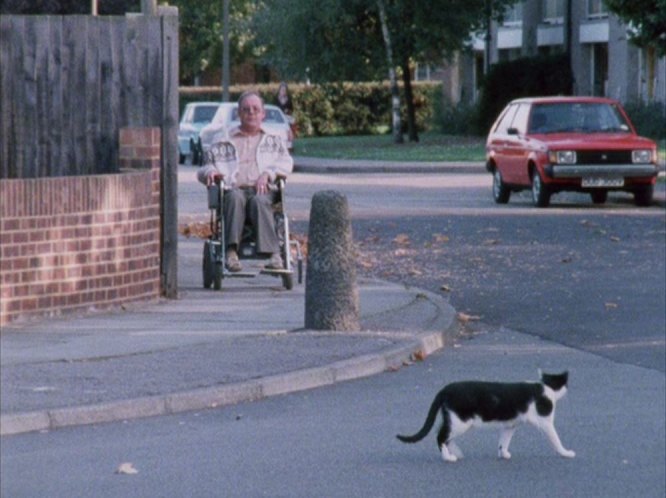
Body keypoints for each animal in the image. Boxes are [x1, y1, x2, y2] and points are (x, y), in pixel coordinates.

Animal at [396, 370, 572, 462]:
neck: (545, 387)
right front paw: (565, 452)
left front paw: (504, 454)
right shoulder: (545, 422)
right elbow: (555, 438)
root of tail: (445, 389)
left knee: (443, 434)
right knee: (440, 436)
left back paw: (456, 452)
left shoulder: (509, 425)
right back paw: (448, 457)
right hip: (461, 421)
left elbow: (504, 441)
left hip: (452, 418)